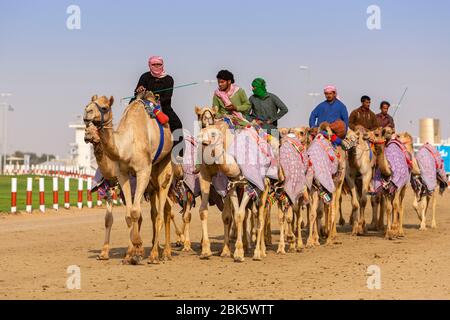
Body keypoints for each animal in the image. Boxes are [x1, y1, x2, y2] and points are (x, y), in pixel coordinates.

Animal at [83, 92, 175, 262]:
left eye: (104, 107)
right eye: (88, 104)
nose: (87, 112)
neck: (127, 146)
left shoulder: (143, 171)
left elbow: (135, 212)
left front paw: (137, 248)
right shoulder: (122, 175)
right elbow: (125, 215)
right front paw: (129, 254)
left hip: (165, 167)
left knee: (162, 212)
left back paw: (158, 254)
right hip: (152, 184)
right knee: (158, 212)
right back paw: (161, 250)